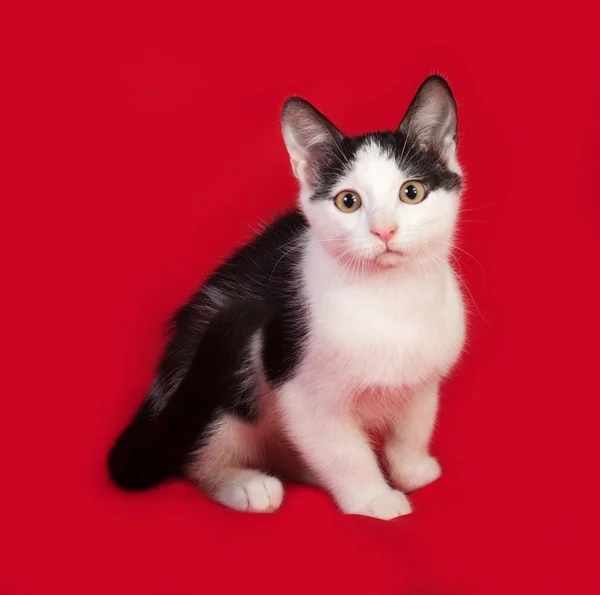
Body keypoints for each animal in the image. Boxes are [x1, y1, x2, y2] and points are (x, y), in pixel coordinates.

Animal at [108, 75, 466, 520]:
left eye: (412, 192)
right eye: (348, 201)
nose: (384, 230)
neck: (389, 296)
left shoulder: (425, 373)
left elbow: (415, 423)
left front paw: (412, 470)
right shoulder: (299, 385)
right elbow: (345, 452)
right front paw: (374, 499)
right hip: (223, 364)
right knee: (192, 455)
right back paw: (246, 484)